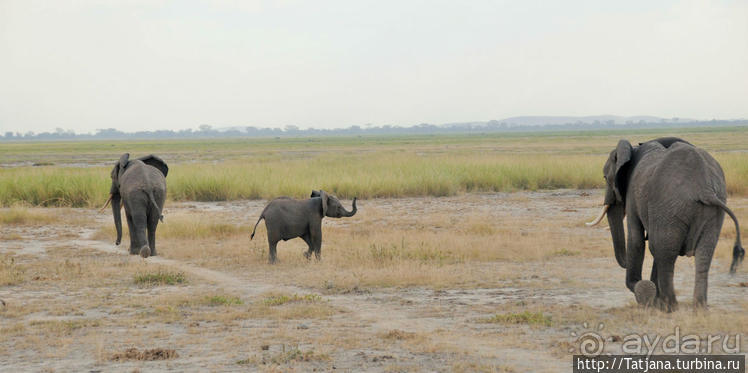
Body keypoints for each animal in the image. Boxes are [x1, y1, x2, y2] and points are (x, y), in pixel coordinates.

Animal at [592, 137, 744, 310]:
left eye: (605, 177)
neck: (634, 148)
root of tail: (704, 187)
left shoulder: (633, 194)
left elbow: (636, 241)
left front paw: (646, 293)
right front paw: (652, 297)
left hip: (669, 206)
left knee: (662, 251)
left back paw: (669, 307)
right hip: (711, 209)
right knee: (704, 253)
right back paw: (699, 309)